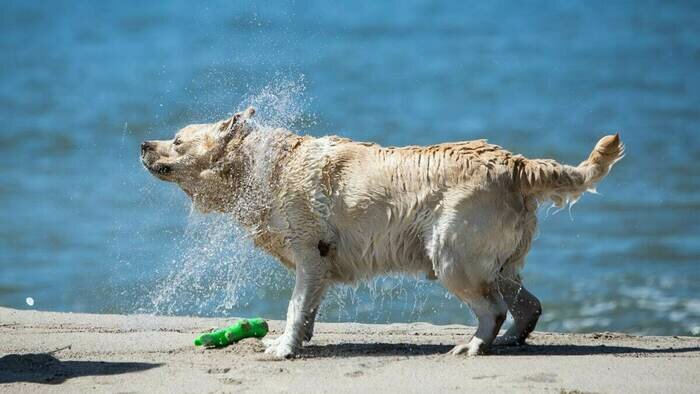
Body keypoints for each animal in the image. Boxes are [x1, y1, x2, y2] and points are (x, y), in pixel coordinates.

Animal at [141, 107, 624, 358]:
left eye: (178, 141)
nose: (144, 144)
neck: (260, 168)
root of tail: (516, 163)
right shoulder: (318, 263)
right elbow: (308, 306)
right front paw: (300, 338)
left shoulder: (309, 249)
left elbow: (296, 305)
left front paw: (282, 346)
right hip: (494, 256)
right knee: (526, 302)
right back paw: (510, 340)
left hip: (451, 253)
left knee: (493, 307)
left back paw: (473, 345)